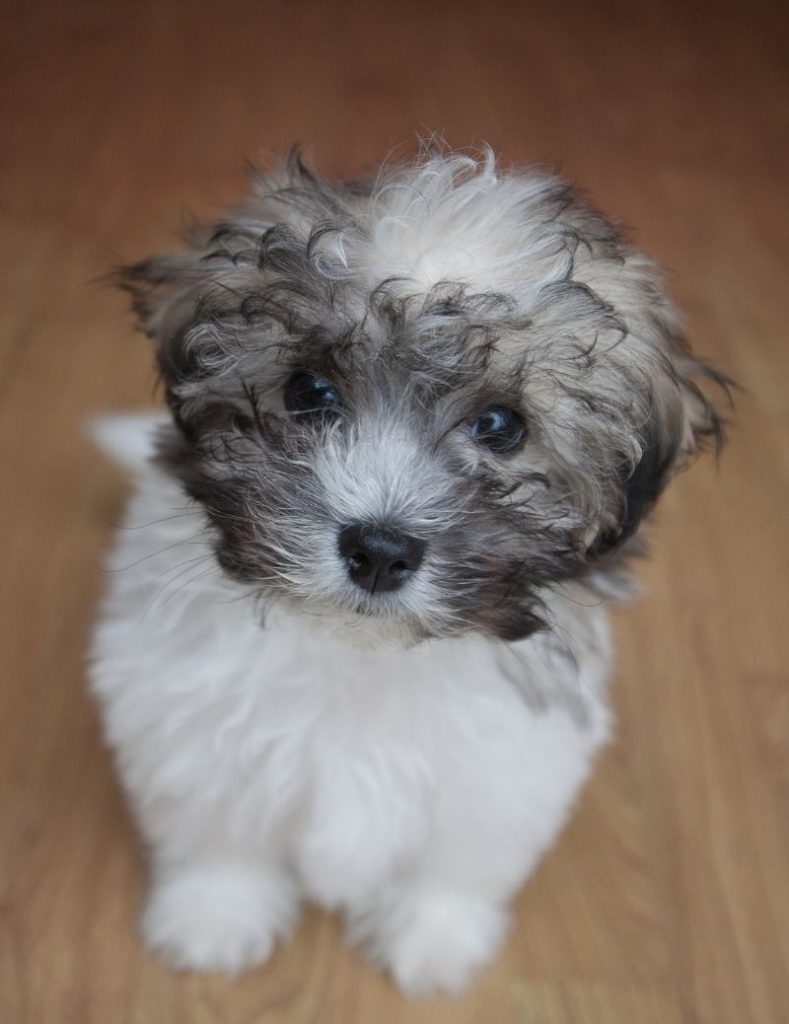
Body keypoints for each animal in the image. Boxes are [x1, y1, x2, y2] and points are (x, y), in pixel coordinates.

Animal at [88, 148, 728, 995]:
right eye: (308, 391)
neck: (365, 656)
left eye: (500, 426)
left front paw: (433, 937)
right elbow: (218, 828)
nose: (379, 550)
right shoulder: (188, 726)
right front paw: (213, 915)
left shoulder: (504, 768)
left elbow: (456, 860)